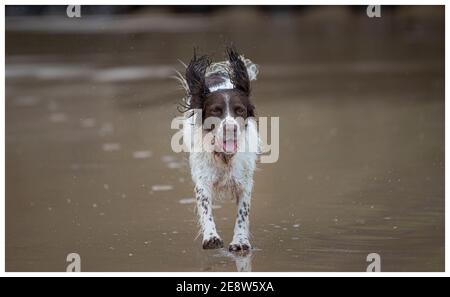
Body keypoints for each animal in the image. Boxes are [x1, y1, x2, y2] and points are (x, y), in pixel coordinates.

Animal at [176, 47, 260, 251]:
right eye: (216, 110)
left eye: (239, 110)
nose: (231, 128)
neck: (224, 156)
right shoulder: (202, 180)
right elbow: (205, 208)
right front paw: (211, 237)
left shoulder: (245, 182)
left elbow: (242, 213)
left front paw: (240, 241)